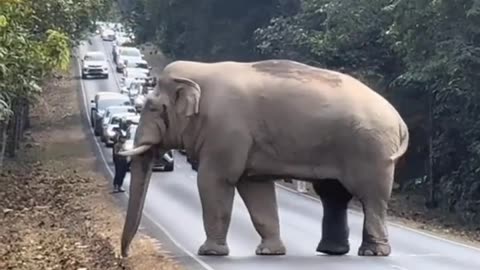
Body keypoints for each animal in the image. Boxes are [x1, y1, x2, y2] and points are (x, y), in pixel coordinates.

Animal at [119, 58, 408, 258]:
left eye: (152, 108)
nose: (125, 255)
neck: (200, 72)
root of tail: (399, 120)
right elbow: (255, 188)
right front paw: (271, 252)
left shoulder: (227, 130)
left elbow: (214, 181)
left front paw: (210, 252)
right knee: (333, 195)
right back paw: (332, 251)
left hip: (372, 150)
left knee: (371, 197)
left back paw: (371, 253)